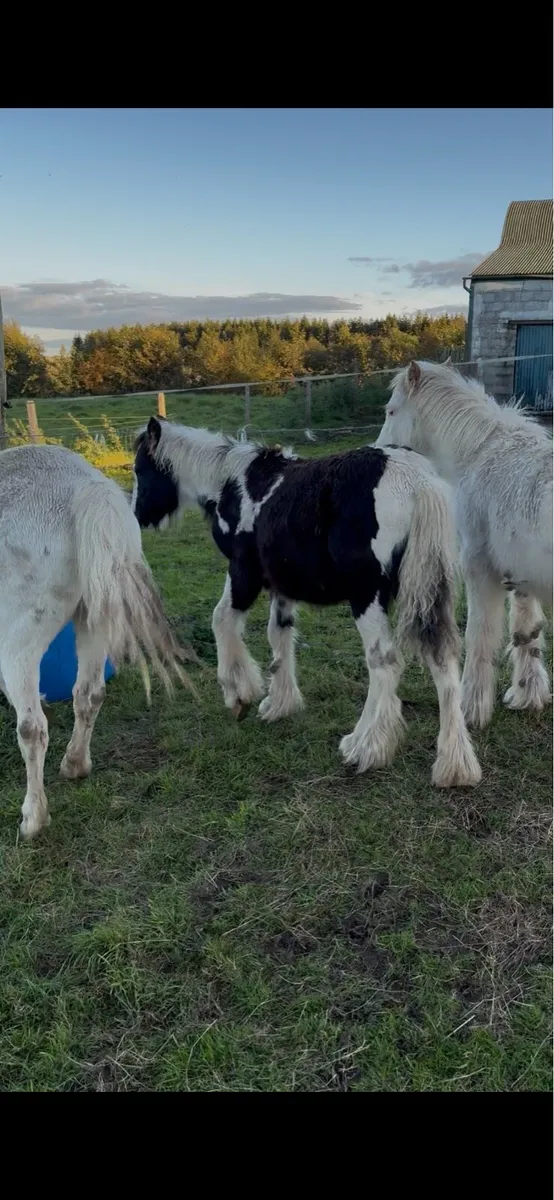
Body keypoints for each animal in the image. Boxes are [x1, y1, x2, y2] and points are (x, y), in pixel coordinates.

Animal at [0, 443, 195, 838]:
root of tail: (83, 486)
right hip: (94, 617)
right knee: (89, 694)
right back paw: (75, 765)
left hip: (18, 645)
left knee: (32, 727)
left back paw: (33, 818)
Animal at [132, 417, 481, 789]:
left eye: (139, 469)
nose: (138, 515)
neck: (232, 482)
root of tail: (417, 482)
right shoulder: (282, 586)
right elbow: (279, 635)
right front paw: (280, 703)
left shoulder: (244, 574)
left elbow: (222, 619)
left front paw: (239, 694)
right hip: (431, 590)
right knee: (442, 659)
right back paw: (455, 765)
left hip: (367, 596)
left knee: (383, 660)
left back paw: (365, 747)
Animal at [374, 359, 552, 728]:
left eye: (392, 410)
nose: (382, 450)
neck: (482, 453)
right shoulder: (520, 572)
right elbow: (526, 631)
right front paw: (528, 695)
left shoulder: (480, 567)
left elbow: (479, 633)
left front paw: (471, 708)